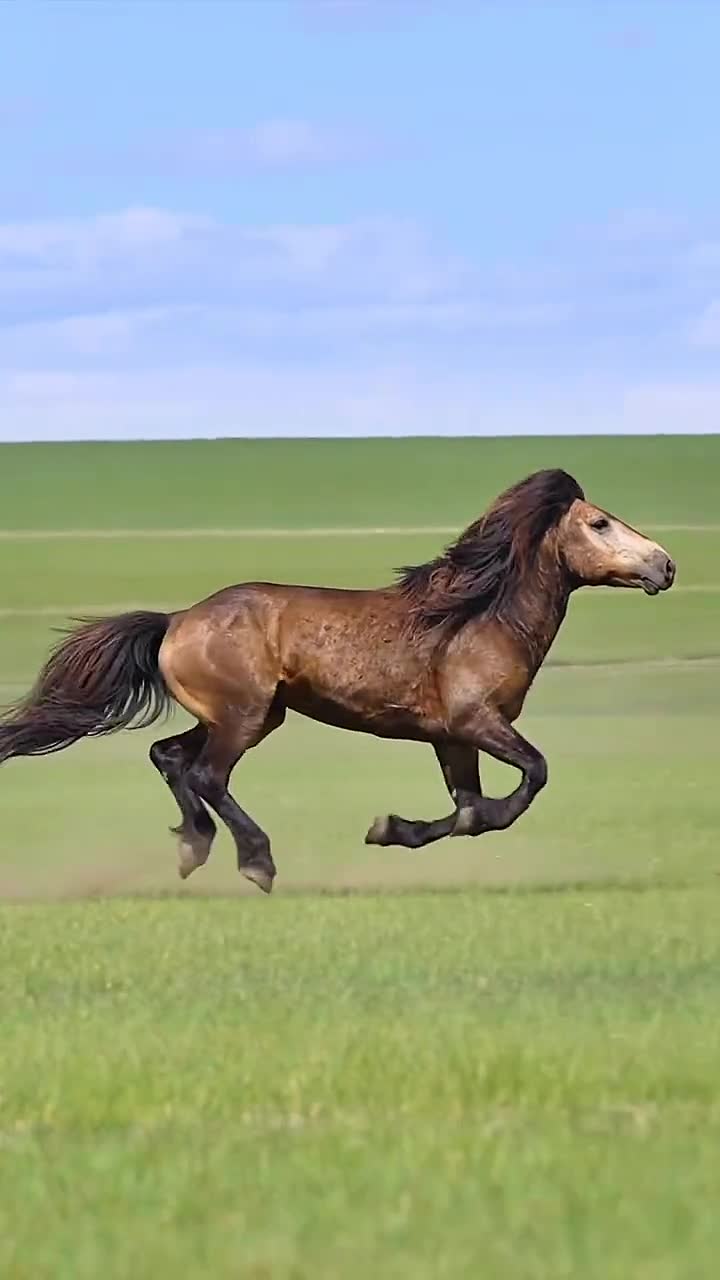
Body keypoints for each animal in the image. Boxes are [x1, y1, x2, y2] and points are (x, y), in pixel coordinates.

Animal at [0, 468, 675, 894]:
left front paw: (390, 830)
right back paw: (255, 862)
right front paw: (391, 829)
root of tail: (176, 621)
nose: (665, 566)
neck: (479, 617)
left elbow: (469, 812)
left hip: (246, 714)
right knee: (205, 775)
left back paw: (194, 846)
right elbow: (528, 780)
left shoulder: (450, 738)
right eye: (600, 524)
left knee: (168, 756)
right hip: (243, 717)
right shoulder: (476, 722)